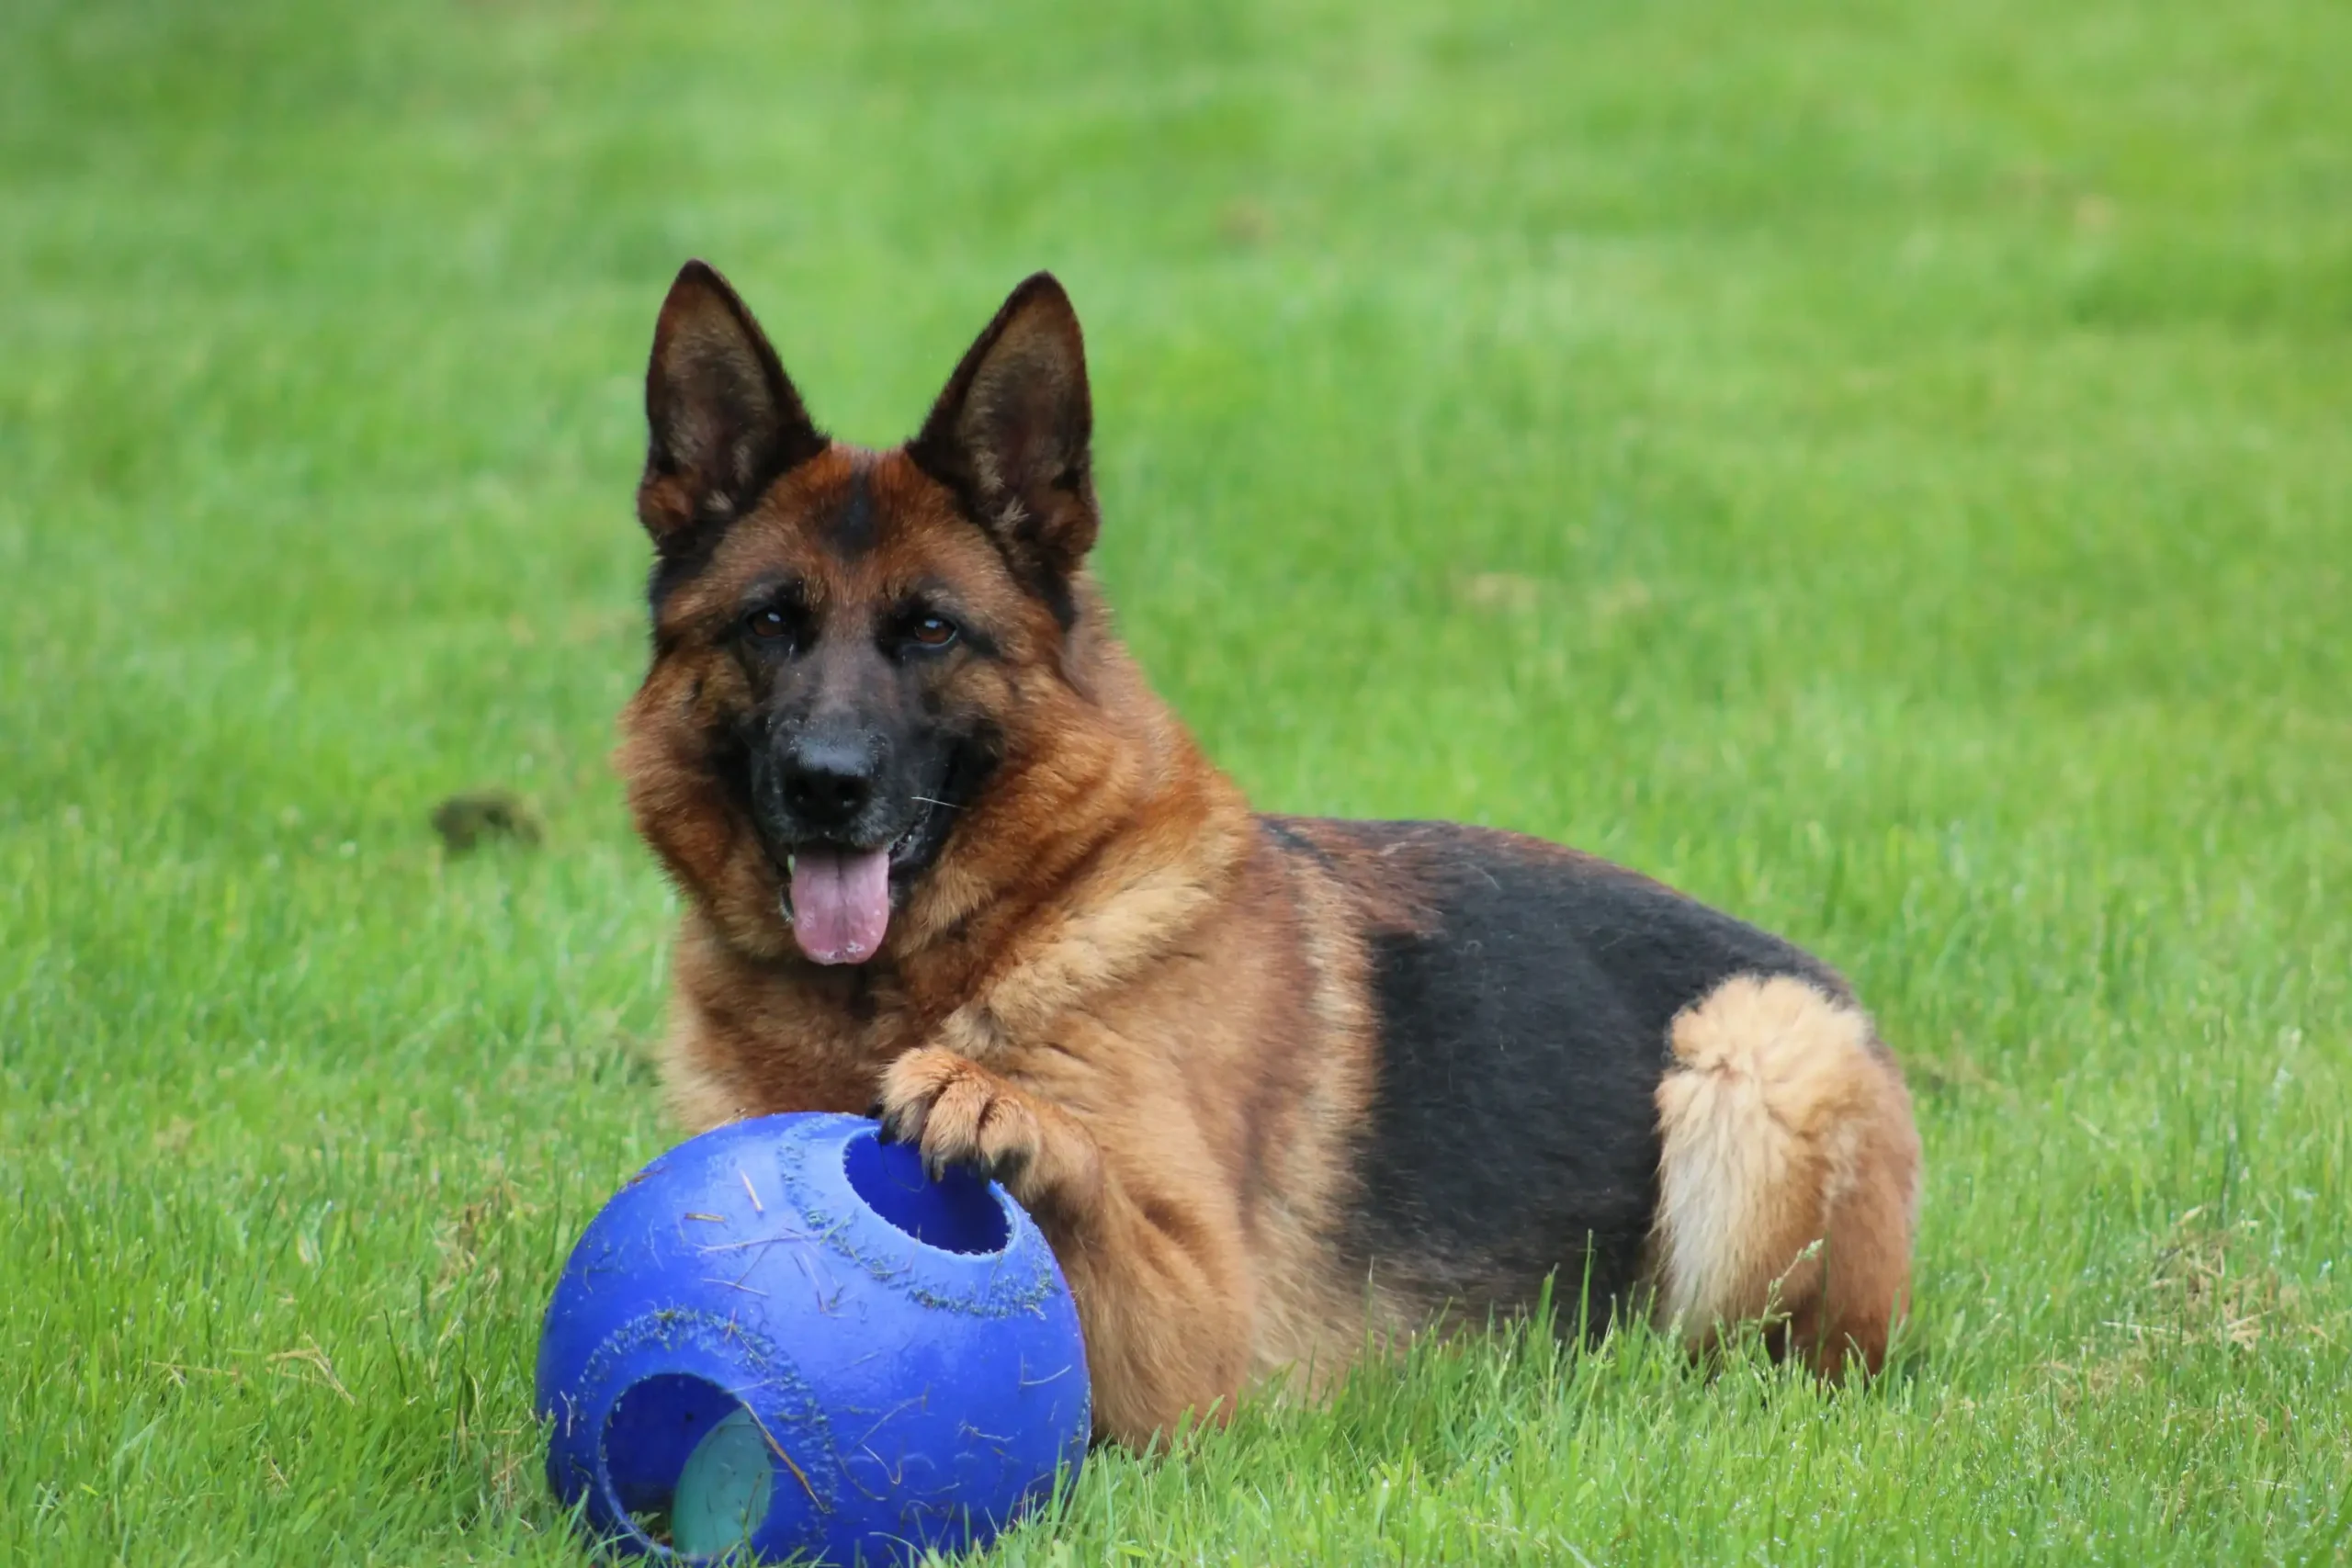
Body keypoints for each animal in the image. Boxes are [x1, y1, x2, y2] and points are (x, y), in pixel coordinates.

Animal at [616, 261, 1918, 1448]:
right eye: (769, 623)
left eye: (930, 630)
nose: (825, 786)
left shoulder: (1200, 1347)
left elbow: (1092, 1184)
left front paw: (994, 1105)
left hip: (1751, 1046)